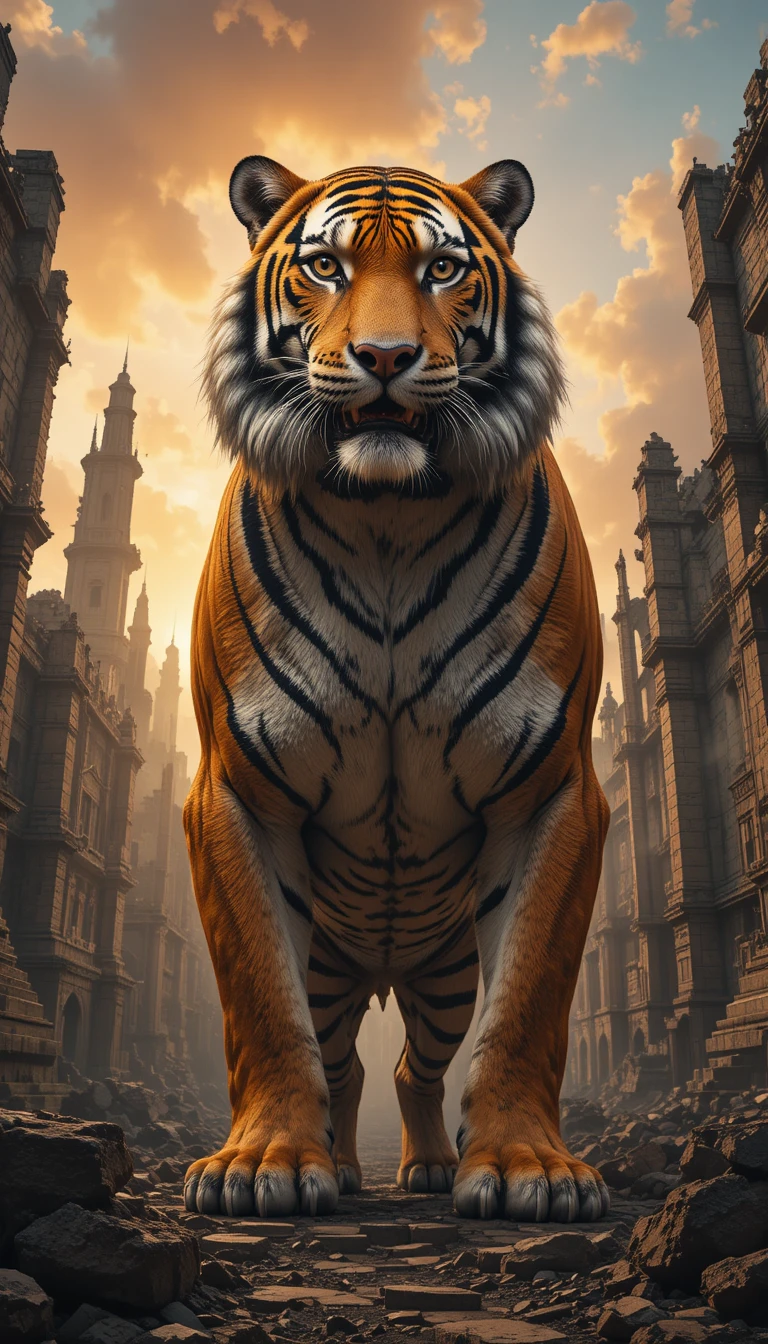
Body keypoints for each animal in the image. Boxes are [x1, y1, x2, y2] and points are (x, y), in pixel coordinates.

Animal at [182, 153, 611, 1223]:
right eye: (325, 266)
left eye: (443, 269)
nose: (384, 357)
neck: (385, 519)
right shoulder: (235, 793)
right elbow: (262, 1000)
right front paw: (264, 1165)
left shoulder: (553, 792)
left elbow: (530, 1001)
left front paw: (528, 1169)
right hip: (336, 971)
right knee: (343, 1061)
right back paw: (334, 1163)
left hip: (443, 969)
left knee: (417, 1065)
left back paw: (425, 1168)